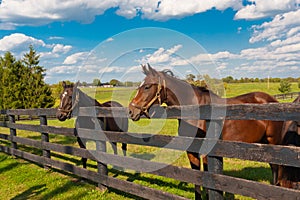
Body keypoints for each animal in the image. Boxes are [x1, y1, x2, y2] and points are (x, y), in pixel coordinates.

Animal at [128, 65, 284, 199]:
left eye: (147, 87)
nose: (131, 111)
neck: (196, 110)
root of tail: (272, 100)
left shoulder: (206, 152)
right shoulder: (191, 151)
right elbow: (196, 178)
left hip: (273, 143)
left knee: (277, 168)